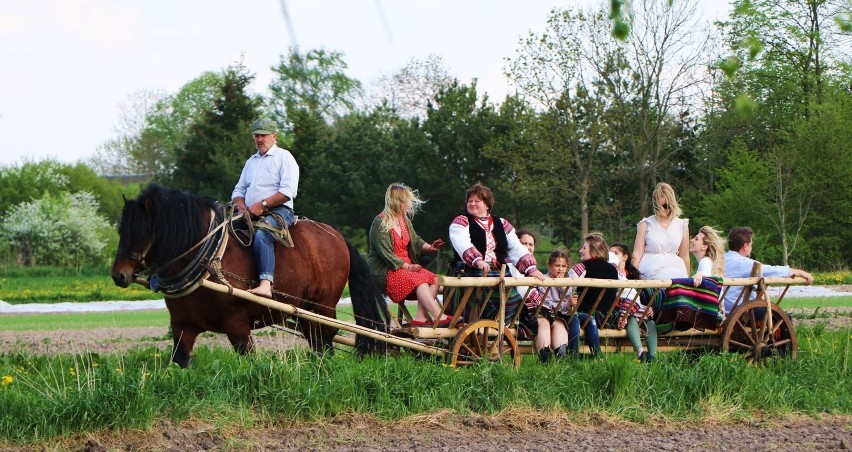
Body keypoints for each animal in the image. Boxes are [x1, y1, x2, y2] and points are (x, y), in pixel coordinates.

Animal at [110, 184, 390, 368]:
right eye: (120, 230)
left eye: (142, 230)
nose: (118, 275)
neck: (208, 262)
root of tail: (336, 235)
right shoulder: (182, 326)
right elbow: (179, 362)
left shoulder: (237, 325)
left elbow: (249, 361)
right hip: (304, 311)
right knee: (318, 341)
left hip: (323, 307)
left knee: (325, 340)